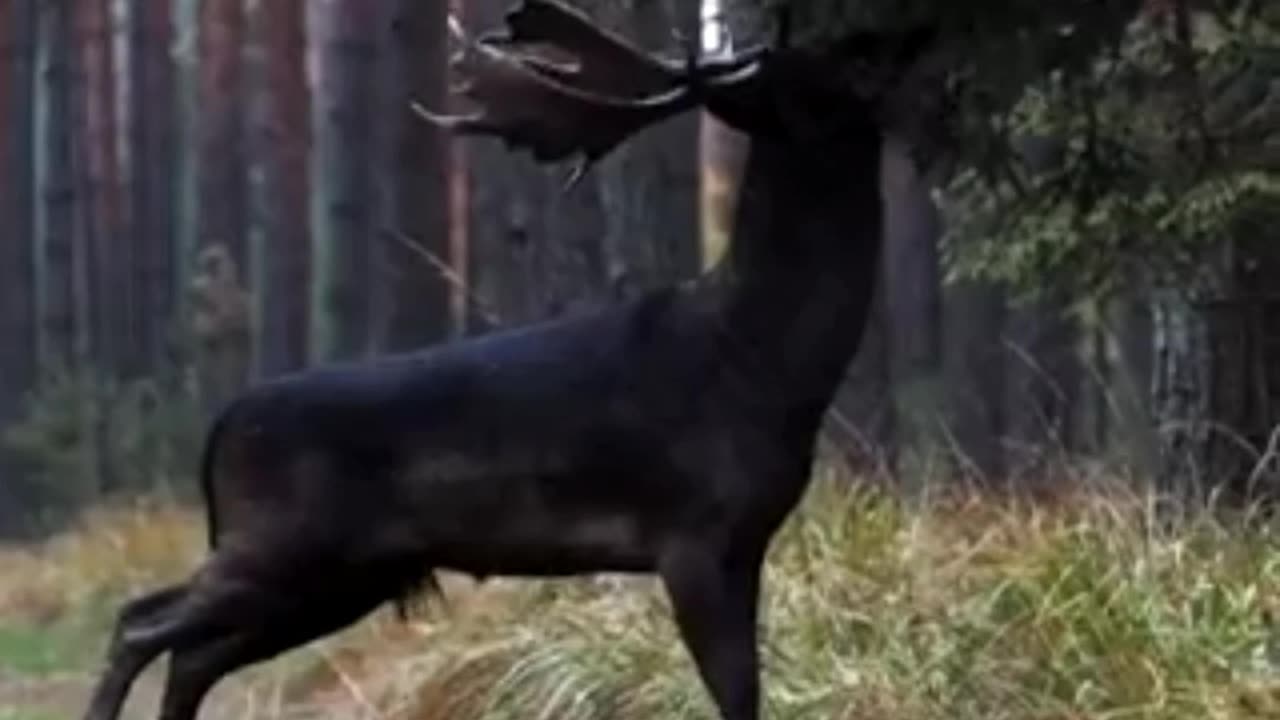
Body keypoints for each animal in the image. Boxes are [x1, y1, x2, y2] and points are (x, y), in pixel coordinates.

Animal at [85, 2, 936, 712]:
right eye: (827, 72)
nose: (903, 36)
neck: (764, 362)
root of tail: (220, 429)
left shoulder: (747, 539)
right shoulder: (691, 534)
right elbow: (736, 695)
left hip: (334, 579)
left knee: (191, 658)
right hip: (280, 547)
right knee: (138, 623)